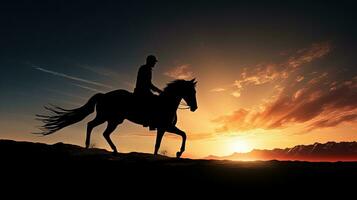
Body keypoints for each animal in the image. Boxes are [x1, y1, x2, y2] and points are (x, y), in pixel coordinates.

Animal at [35, 78, 196, 158]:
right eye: (191, 91)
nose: (195, 107)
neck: (166, 102)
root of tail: (103, 95)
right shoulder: (166, 127)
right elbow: (182, 135)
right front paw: (179, 152)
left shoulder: (164, 128)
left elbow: (162, 142)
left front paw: (174, 153)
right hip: (107, 117)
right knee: (91, 125)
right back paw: (88, 145)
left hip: (114, 120)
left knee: (104, 132)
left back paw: (114, 150)